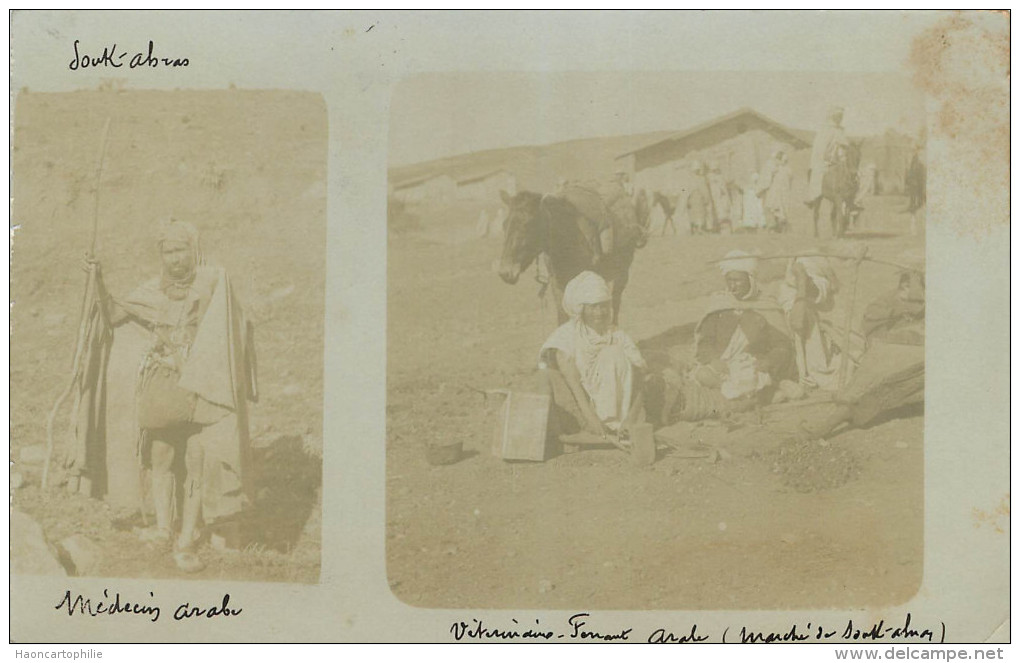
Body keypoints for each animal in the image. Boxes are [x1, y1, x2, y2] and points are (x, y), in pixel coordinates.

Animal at [497, 188, 648, 322]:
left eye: (527, 224)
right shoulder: (557, 285)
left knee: (615, 303)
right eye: (504, 225)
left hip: (622, 274)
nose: (505, 272)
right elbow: (563, 315)